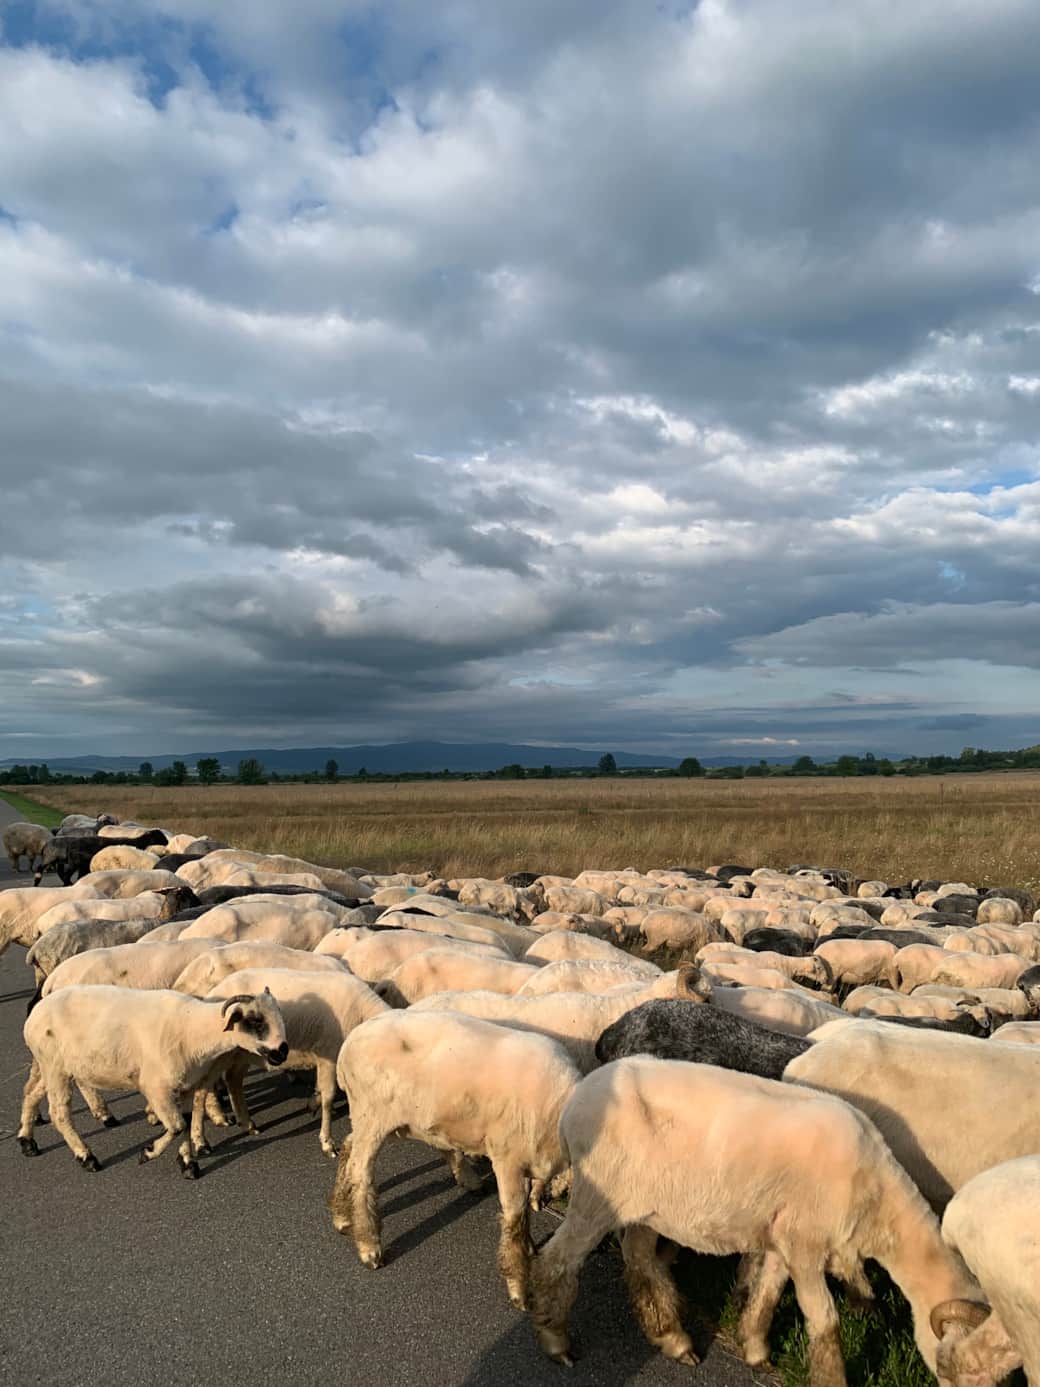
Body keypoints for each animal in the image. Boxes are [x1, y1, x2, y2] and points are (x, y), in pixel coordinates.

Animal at [18, 985, 287, 1176]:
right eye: (256, 1021)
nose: (282, 1051)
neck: (192, 1029)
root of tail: (32, 1017)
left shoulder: (185, 1086)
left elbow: (185, 1122)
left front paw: (188, 1164)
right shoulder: (156, 1087)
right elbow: (177, 1126)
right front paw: (148, 1153)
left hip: (53, 1066)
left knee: (31, 1093)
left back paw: (27, 1142)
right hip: (54, 1067)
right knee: (59, 1113)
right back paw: (87, 1158)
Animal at [194, 967, 389, 1156]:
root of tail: (213, 992)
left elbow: (321, 1091)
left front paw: (312, 1104)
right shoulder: (328, 1054)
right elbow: (328, 1097)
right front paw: (327, 1143)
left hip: (243, 1053)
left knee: (233, 1080)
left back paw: (247, 1124)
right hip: (220, 1053)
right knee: (202, 1090)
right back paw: (203, 1139)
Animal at [328, 1009, 580, 1307]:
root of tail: (348, 1046)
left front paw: (530, 1248)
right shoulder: (508, 1159)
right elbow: (515, 1220)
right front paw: (519, 1289)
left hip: (378, 1119)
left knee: (348, 1147)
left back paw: (342, 1218)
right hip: (372, 1114)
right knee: (360, 1171)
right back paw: (369, 1246)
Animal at [526, 1058, 992, 1383]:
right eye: (962, 1368)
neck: (878, 1204)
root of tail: (576, 1100)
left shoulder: (782, 1237)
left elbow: (768, 1290)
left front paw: (754, 1348)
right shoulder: (806, 1244)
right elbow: (824, 1320)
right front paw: (830, 1378)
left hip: (646, 1206)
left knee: (639, 1259)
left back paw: (673, 1339)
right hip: (596, 1197)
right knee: (556, 1261)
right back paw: (556, 1342)